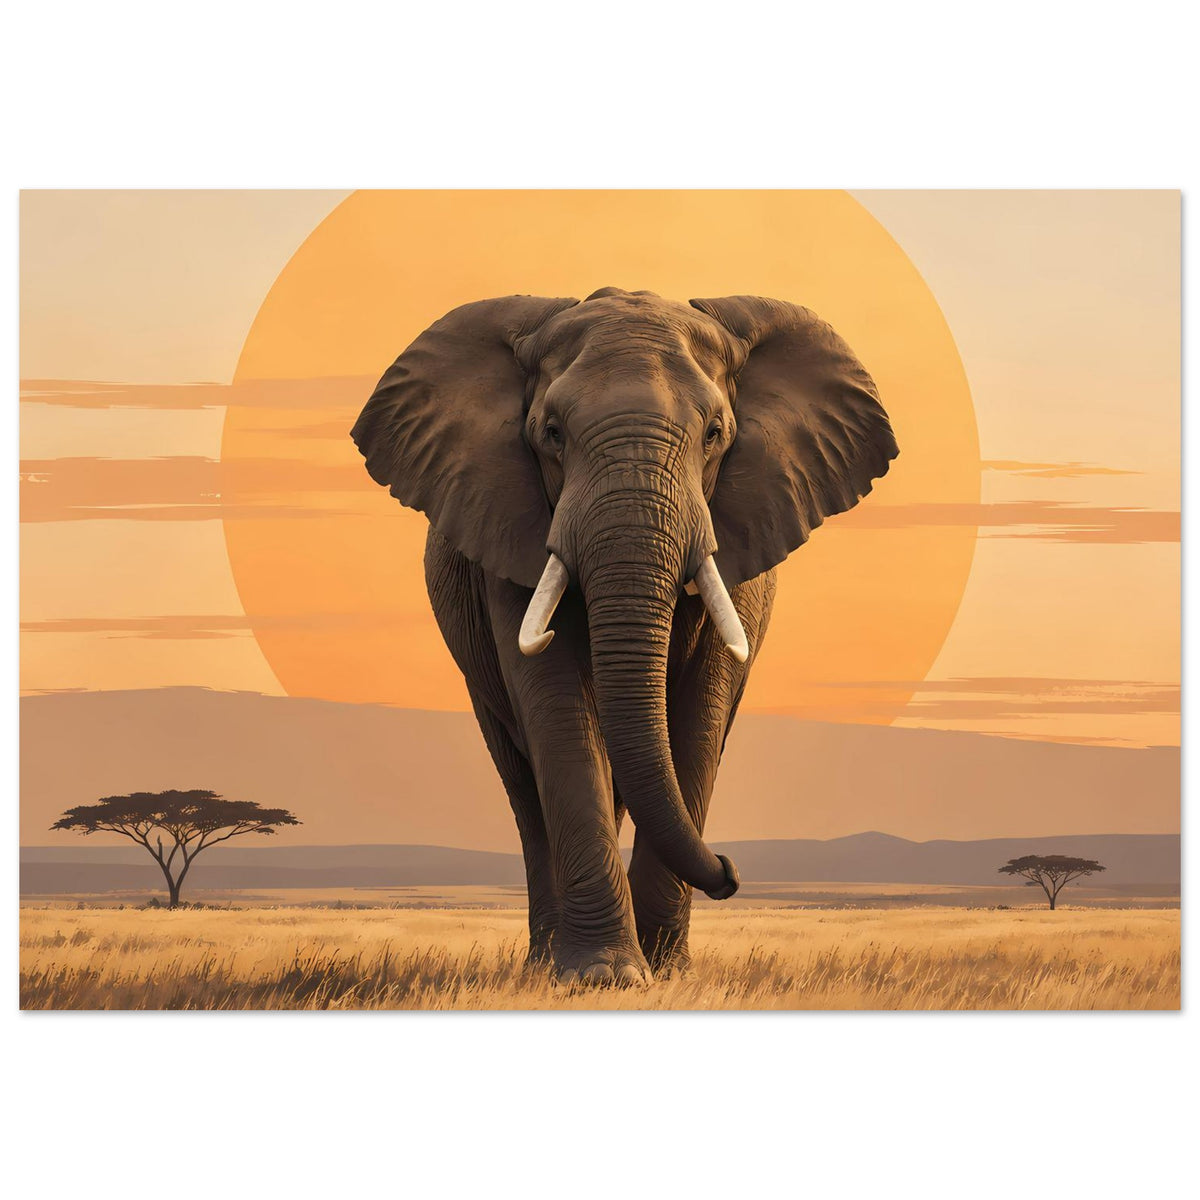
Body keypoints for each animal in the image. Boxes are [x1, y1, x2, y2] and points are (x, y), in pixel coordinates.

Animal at [351, 287, 897, 984]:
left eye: (715, 434)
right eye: (551, 434)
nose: (730, 872)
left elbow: (700, 713)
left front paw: (667, 974)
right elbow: (556, 706)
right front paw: (603, 977)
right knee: (525, 784)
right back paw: (544, 965)